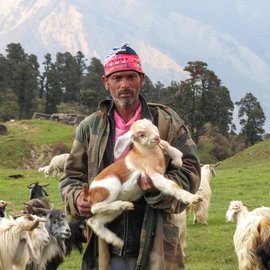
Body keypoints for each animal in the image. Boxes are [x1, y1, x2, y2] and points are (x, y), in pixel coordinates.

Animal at [83, 118, 201, 249]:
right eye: (141, 135)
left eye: (152, 125)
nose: (156, 138)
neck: (146, 154)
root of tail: (90, 193)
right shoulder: (153, 175)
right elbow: (171, 185)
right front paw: (193, 198)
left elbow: (165, 143)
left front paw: (177, 159)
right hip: (112, 186)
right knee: (95, 208)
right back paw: (123, 205)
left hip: (111, 212)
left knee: (94, 221)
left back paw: (117, 239)